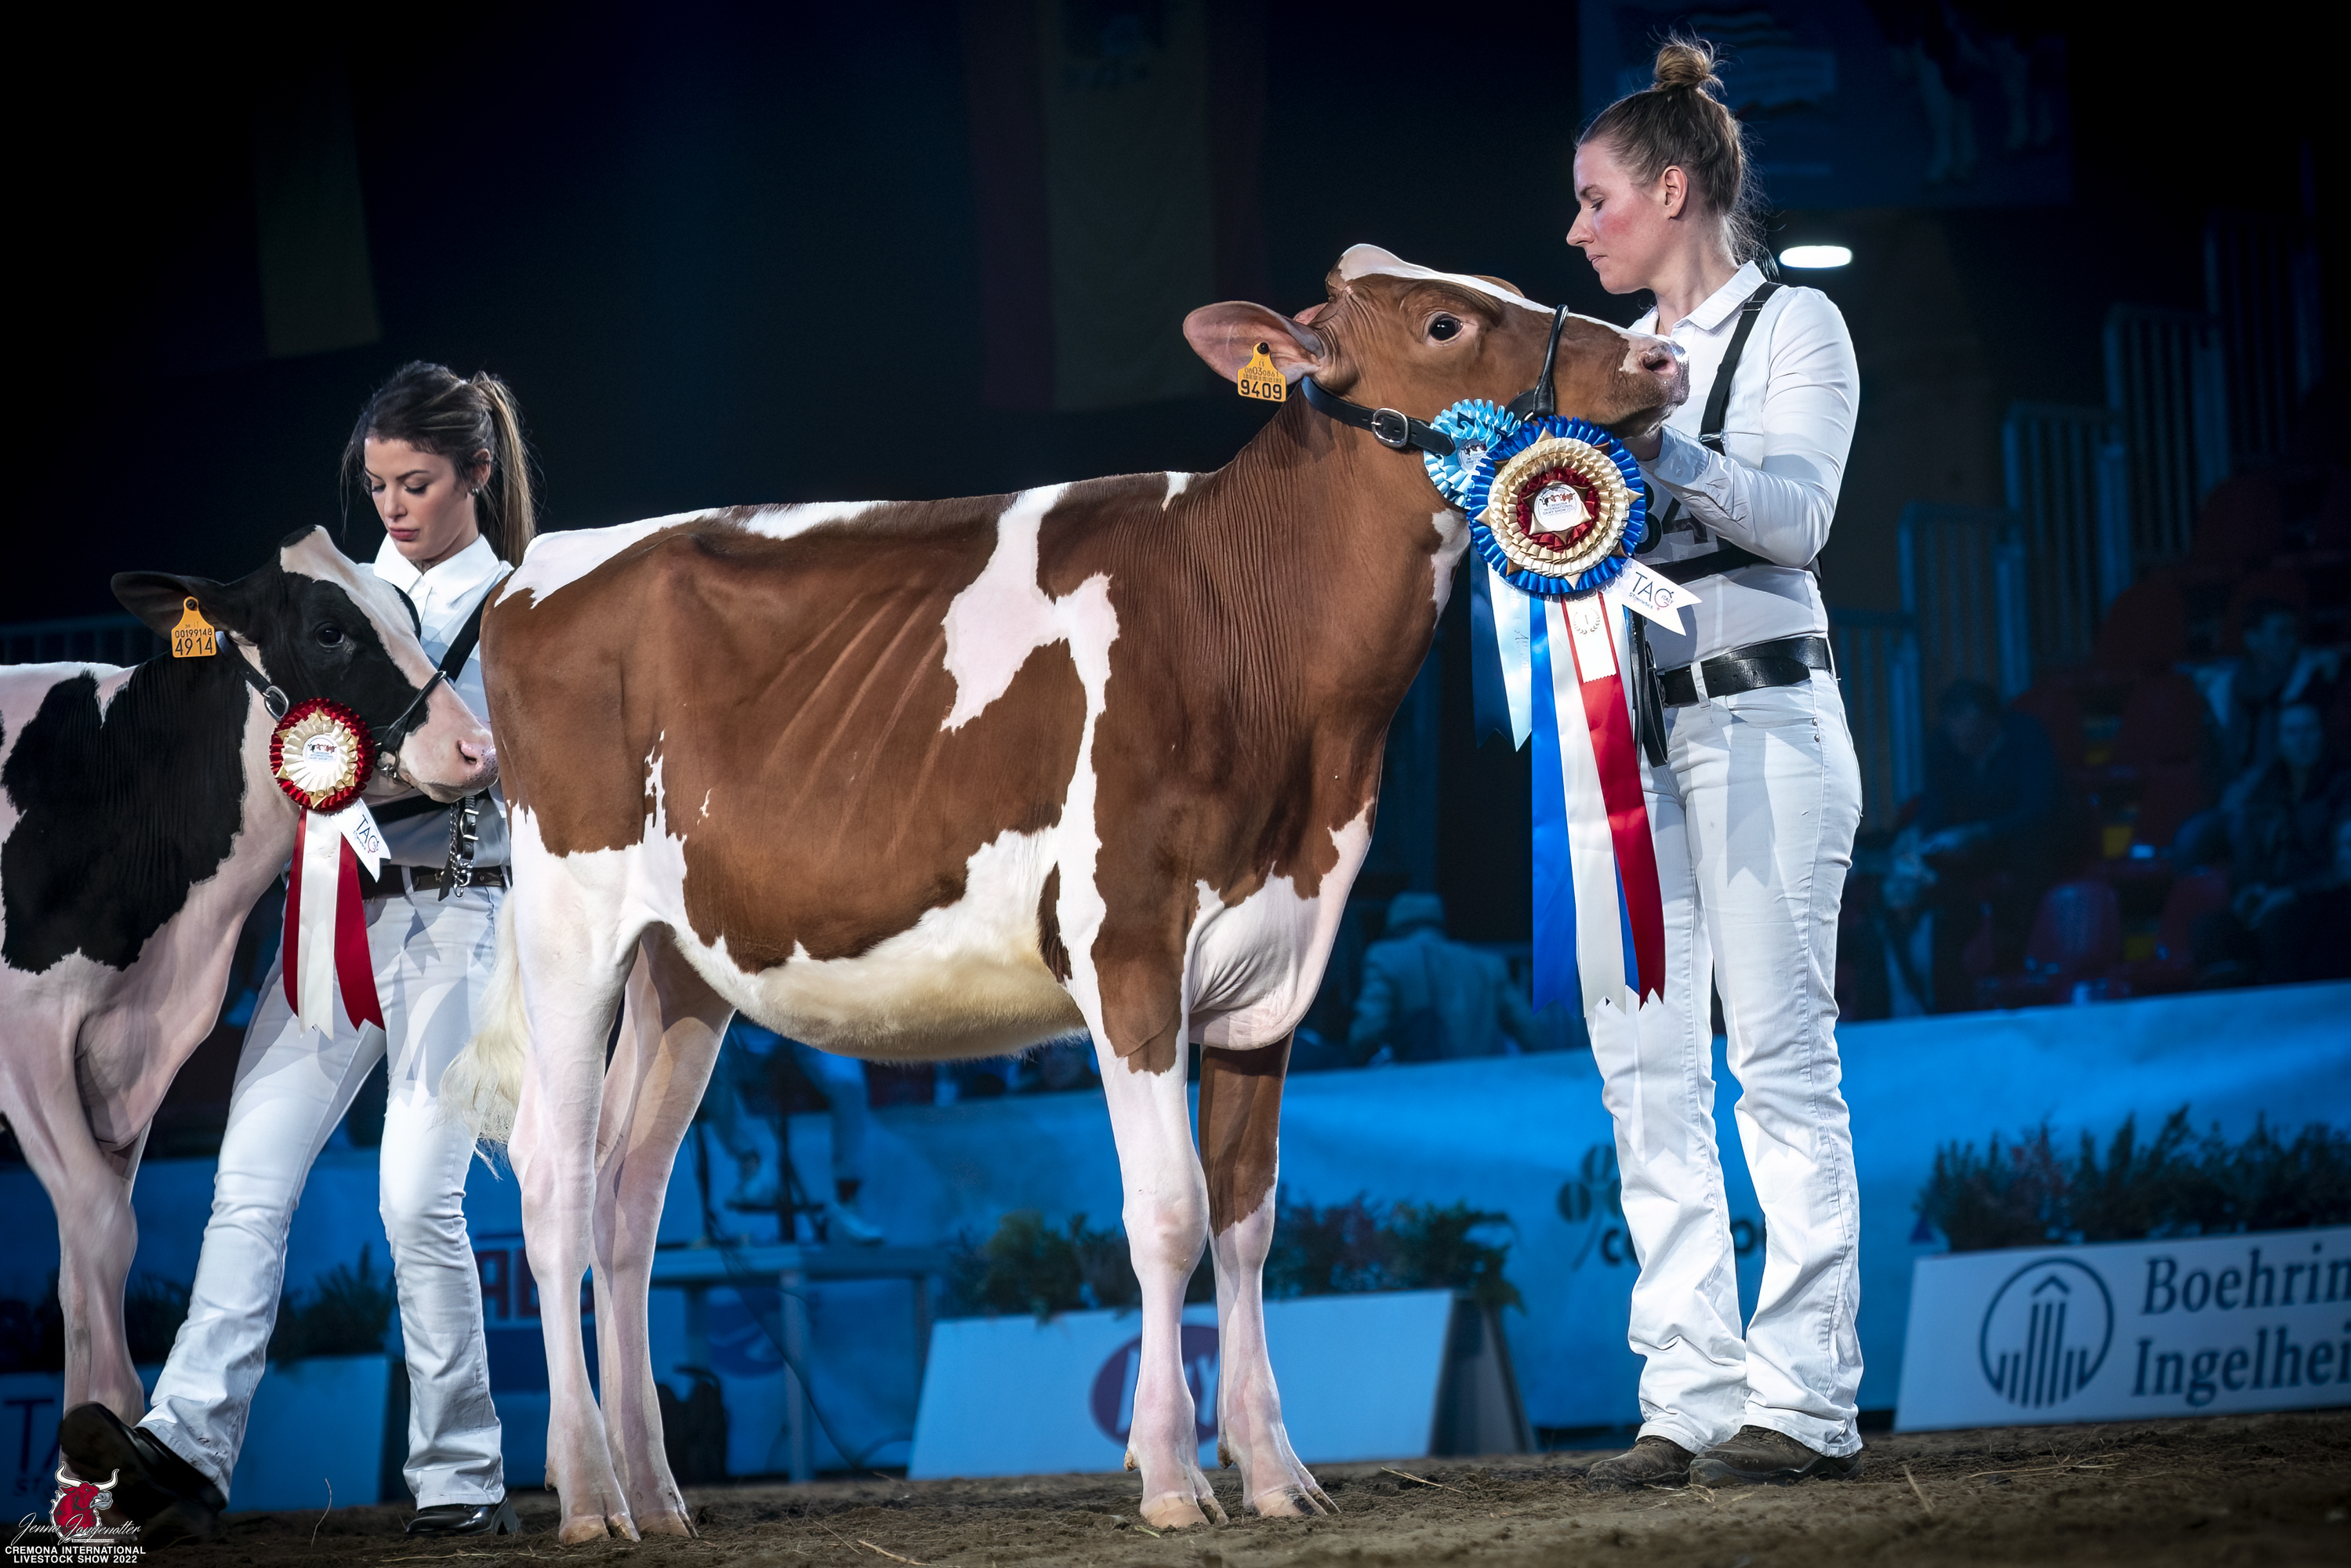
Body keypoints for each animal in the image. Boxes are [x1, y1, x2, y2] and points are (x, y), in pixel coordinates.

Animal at [448, 246, 1684, 1541]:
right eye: (1445, 322)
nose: (1661, 358)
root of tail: (536, 569)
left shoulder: (1275, 966)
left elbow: (1247, 1217)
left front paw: (1274, 1472)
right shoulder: (1127, 947)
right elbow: (1168, 1213)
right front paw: (1172, 1477)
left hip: (678, 965)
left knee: (626, 1197)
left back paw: (656, 1491)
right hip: (570, 927)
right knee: (552, 1179)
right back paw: (588, 1495)